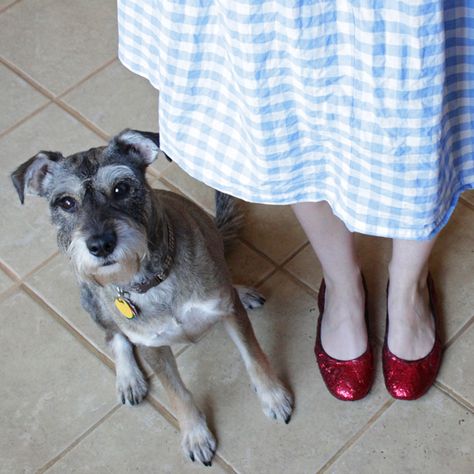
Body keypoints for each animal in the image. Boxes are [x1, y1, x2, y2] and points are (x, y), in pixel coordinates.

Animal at [11, 129, 292, 466]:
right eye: (65, 202)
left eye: (121, 188)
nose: (101, 244)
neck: (154, 281)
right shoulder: (153, 346)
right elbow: (177, 392)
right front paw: (195, 435)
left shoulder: (227, 310)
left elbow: (254, 356)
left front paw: (273, 397)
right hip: (90, 299)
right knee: (114, 336)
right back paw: (129, 378)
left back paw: (243, 290)